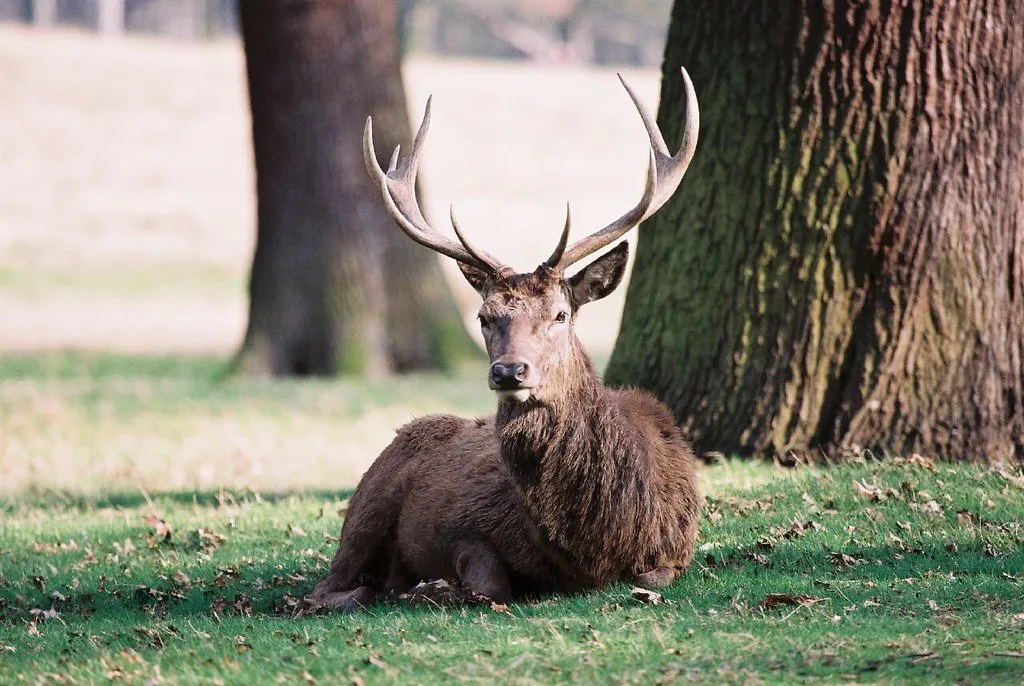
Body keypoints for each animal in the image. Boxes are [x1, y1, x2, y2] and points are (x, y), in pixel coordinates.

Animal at [310, 67, 701, 611]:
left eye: (561, 314)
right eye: (484, 316)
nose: (510, 371)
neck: (596, 541)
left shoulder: (677, 548)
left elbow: (651, 577)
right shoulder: (464, 529)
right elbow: (489, 584)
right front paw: (433, 587)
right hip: (366, 506)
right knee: (326, 589)